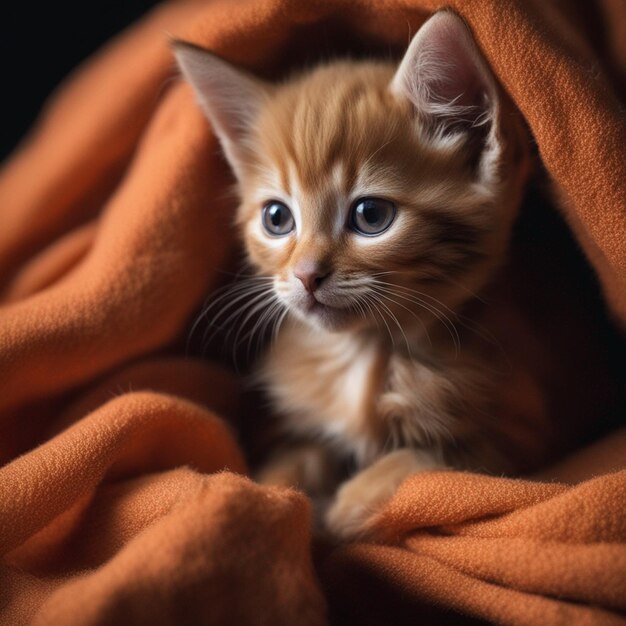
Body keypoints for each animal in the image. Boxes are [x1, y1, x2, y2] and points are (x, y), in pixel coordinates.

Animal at [173, 9, 528, 536]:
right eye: (276, 218)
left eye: (371, 216)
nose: (306, 275)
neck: (363, 352)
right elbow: (294, 456)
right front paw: (269, 491)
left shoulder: (519, 435)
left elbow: (429, 459)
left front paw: (347, 505)